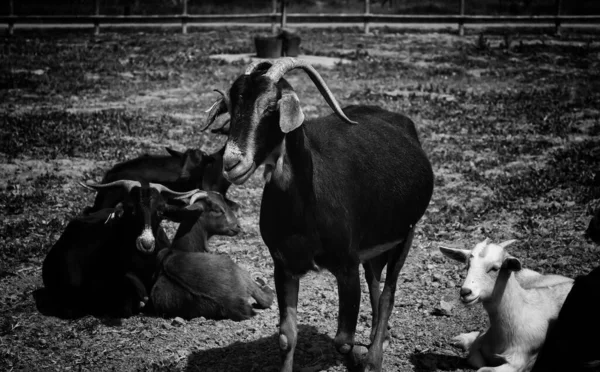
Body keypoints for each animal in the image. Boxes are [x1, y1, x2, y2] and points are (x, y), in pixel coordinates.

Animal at [204, 58, 434, 372]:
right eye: (231, 103)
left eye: (271, 107)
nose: (231, 163)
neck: (305, 209)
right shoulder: (283, 265)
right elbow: (286, 336)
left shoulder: (346, 266)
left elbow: (343, 341)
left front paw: (357, 359)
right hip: (374, 244)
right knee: (375, 279)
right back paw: (381, 335)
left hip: (406, 232)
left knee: (389, 290)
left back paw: (374, 357)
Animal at [438, 240, 576, 370]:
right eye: (467, 265)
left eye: (495, 268)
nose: (465, 292)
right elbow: (475, 357)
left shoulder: (518, 361)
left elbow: (483, 368)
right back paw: (460, 339)